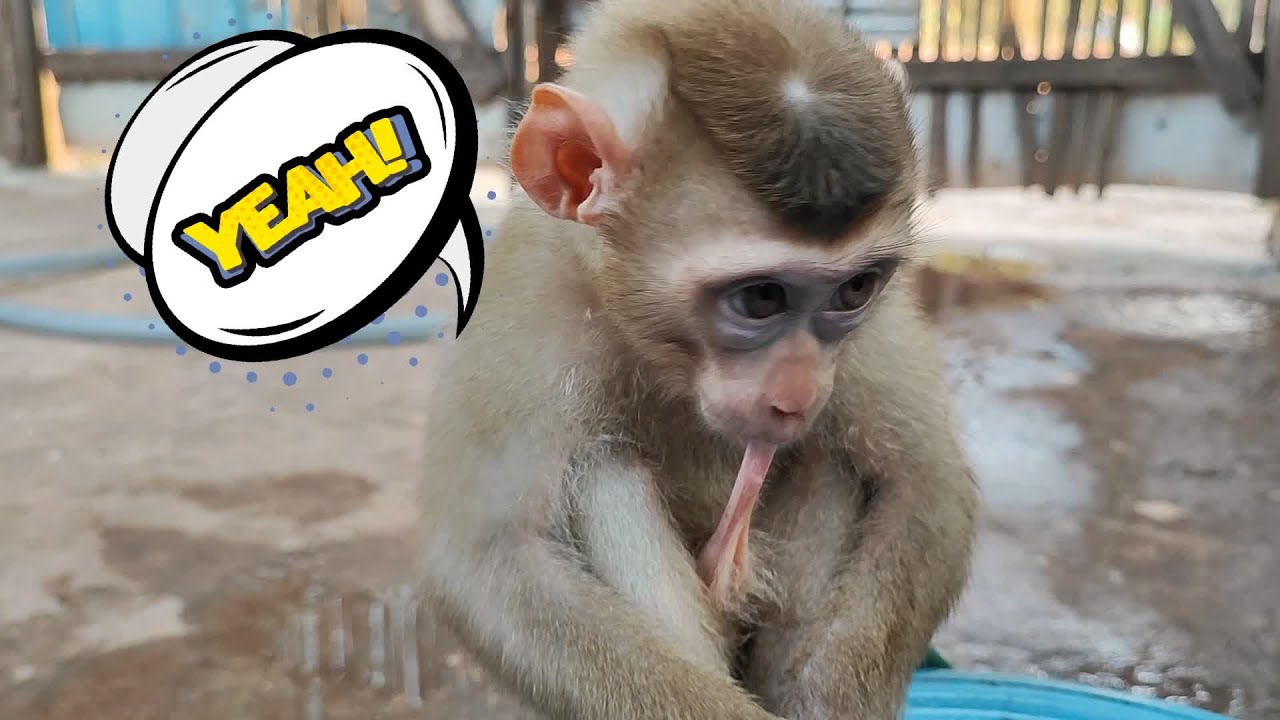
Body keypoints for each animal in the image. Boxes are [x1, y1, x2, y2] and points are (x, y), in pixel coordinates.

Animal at [415, 0, 979, 717]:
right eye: (760, 299)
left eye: (854, 290)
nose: (796, 398)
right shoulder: (530, 300)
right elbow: (497, 564)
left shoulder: (870, 331)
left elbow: (927, 490)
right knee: (600, 471)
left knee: (834, 458)